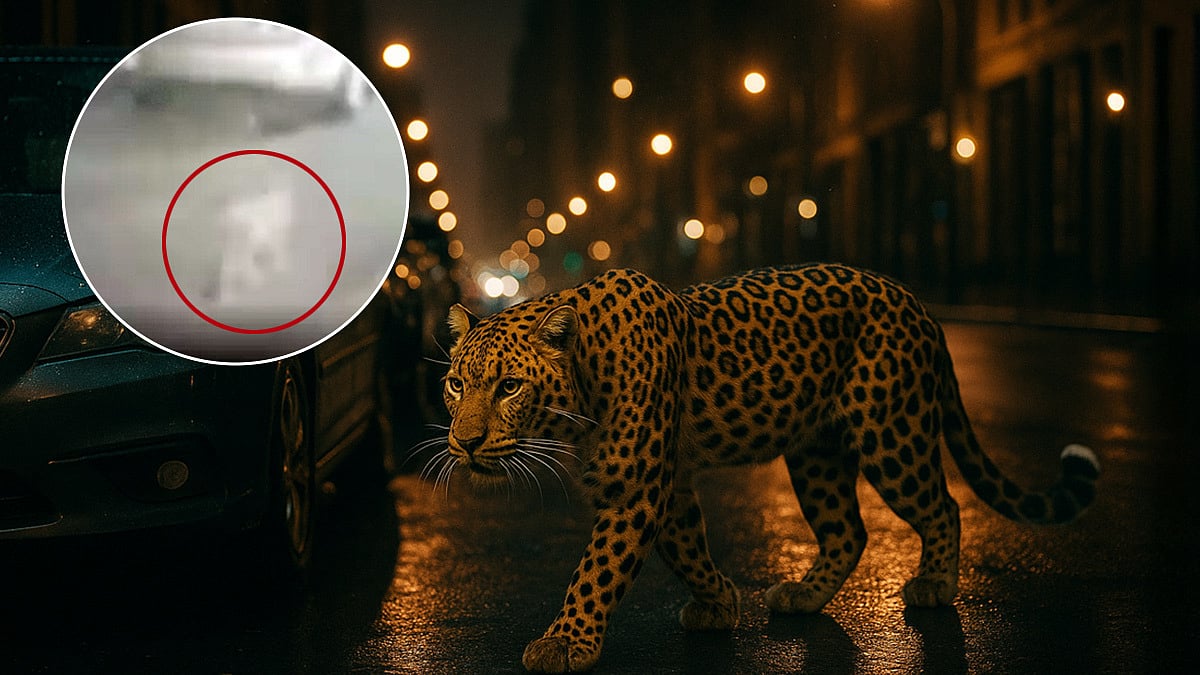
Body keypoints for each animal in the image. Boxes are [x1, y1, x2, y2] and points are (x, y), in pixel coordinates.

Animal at [438, 264, 1100, 673]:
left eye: (509, 386)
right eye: (455, 384)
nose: (464, 443)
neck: (584, 381)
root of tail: (919, 306)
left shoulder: (636, 488)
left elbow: (597, 570)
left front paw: (565, 641)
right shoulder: (671, 482)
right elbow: (688, 547)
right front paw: (721, 603)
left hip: (894, 434)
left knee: (944, 506)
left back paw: (935, 583)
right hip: (816, 453)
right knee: (848, 530)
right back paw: (803, 595)